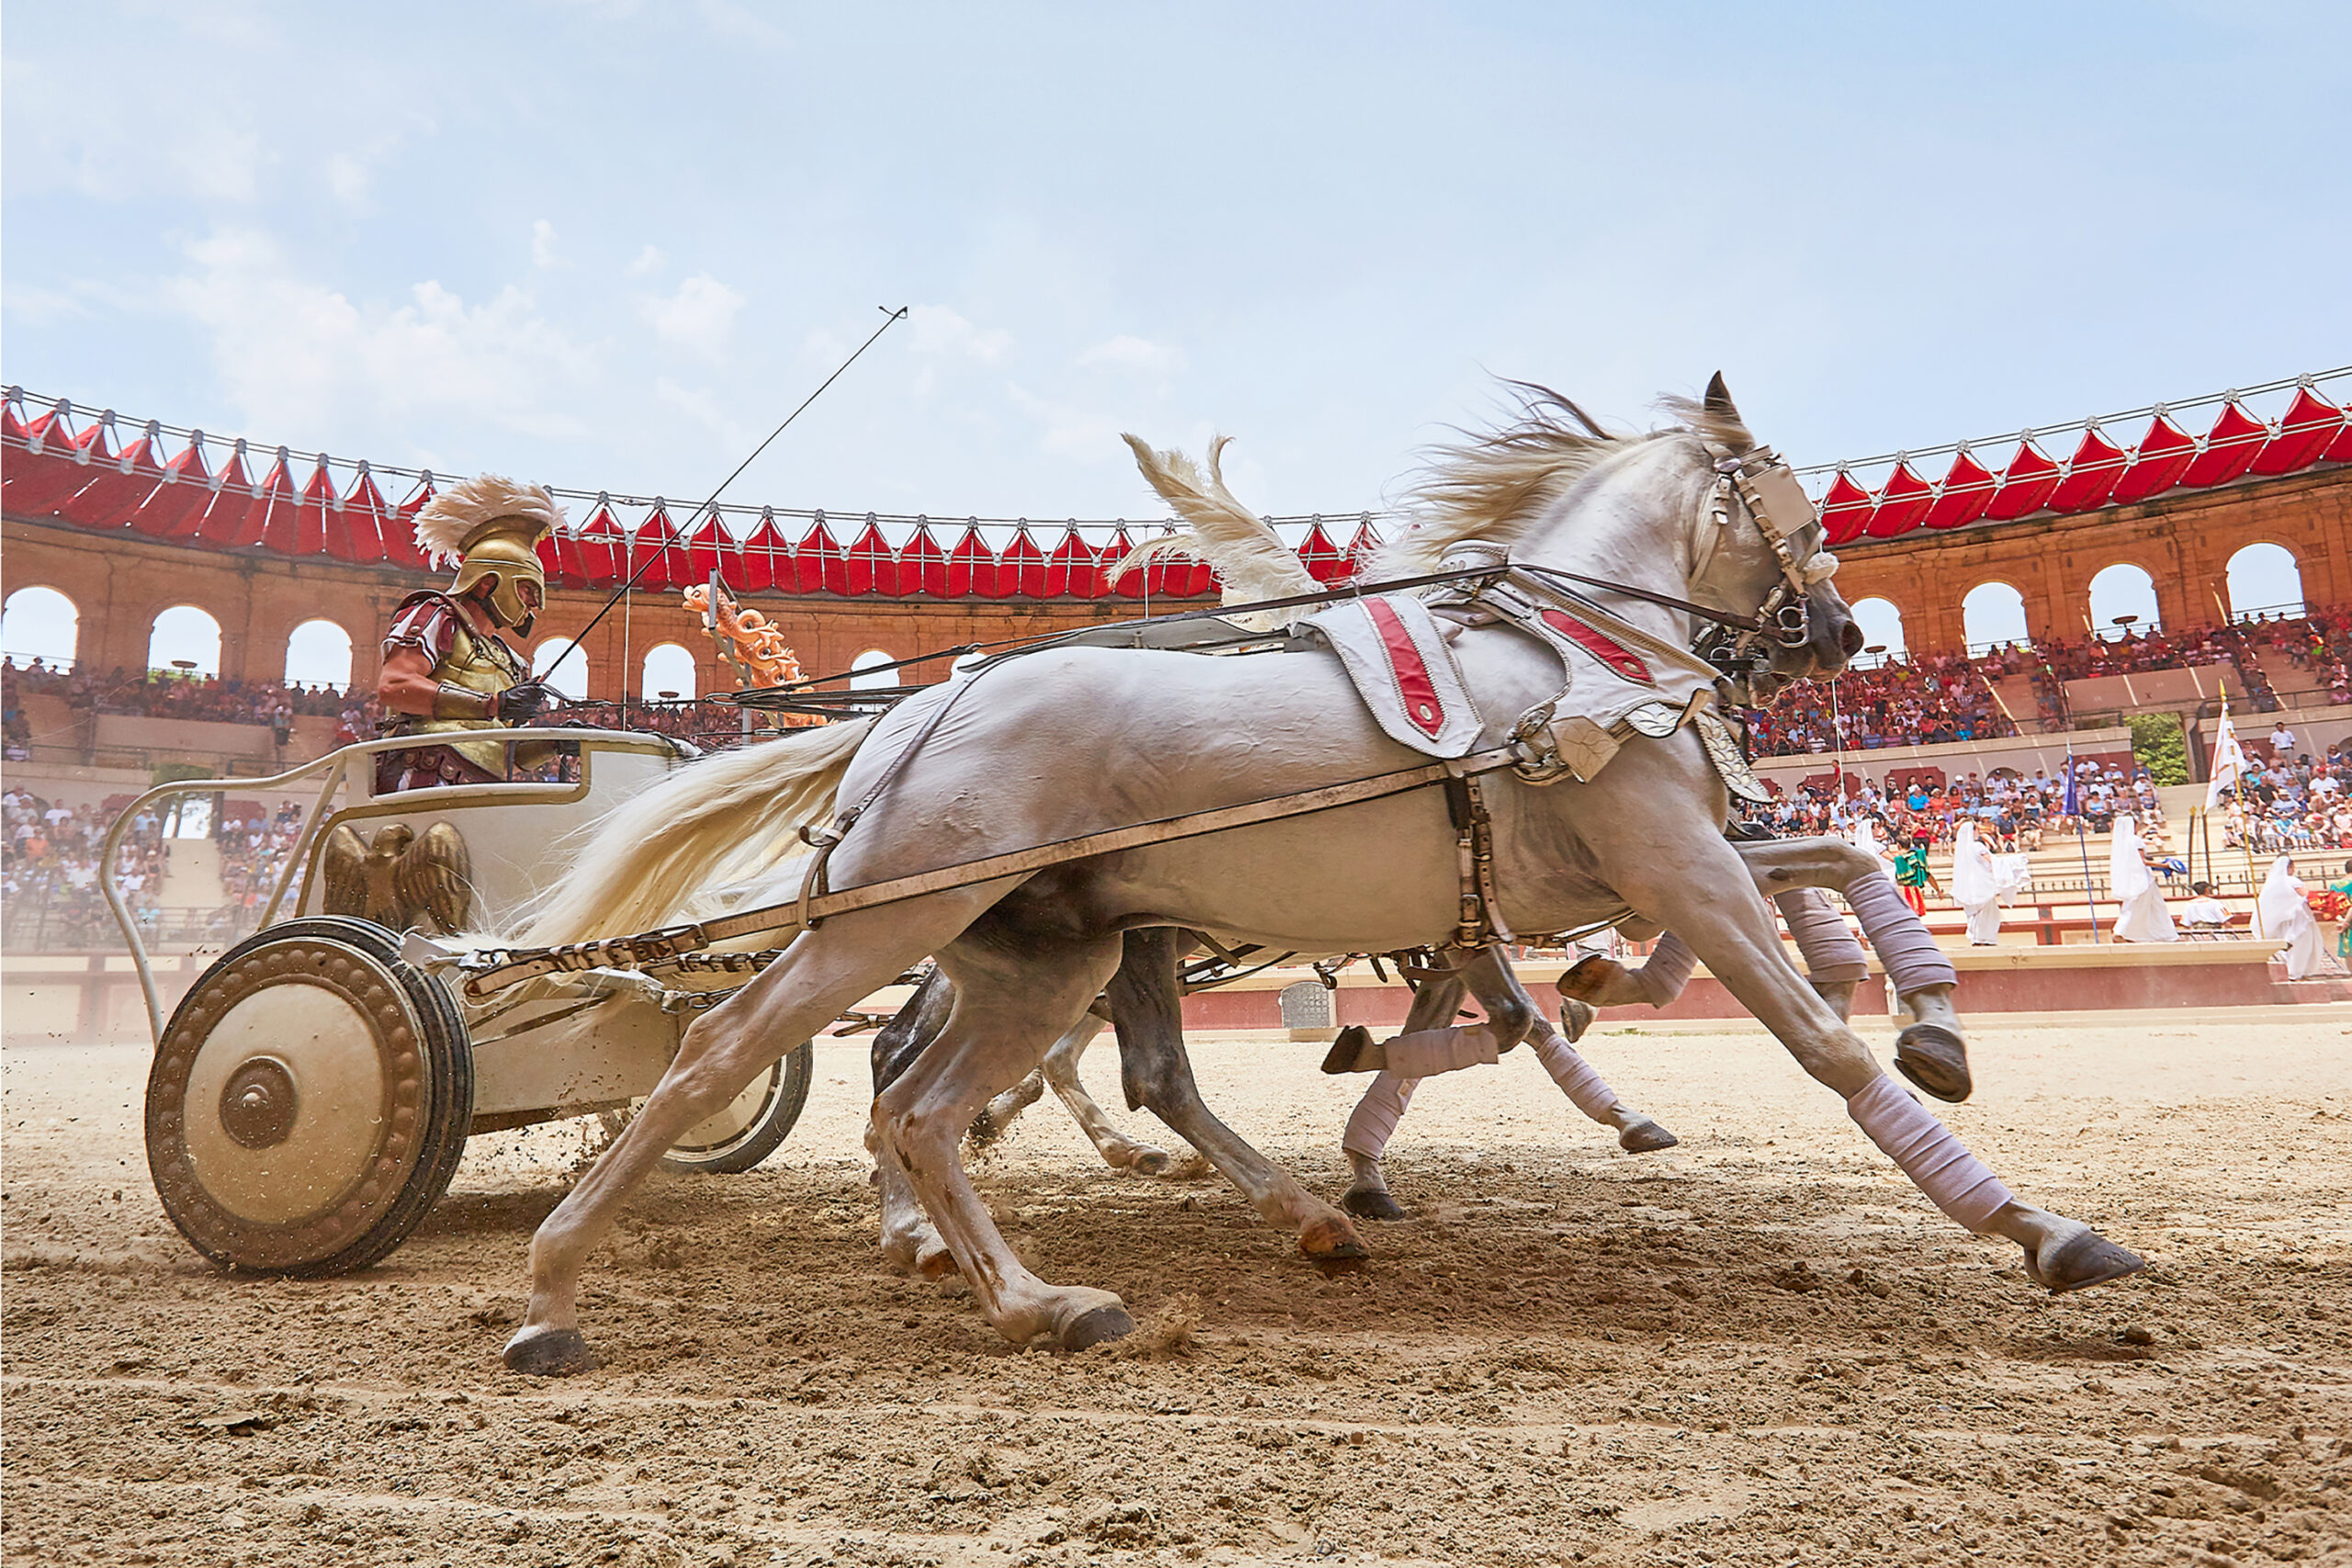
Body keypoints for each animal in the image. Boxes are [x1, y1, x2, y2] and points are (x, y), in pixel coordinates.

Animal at [500, 377, 2142, 1371]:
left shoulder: (1615, 876)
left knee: (931, 1101)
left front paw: (1931, 1019)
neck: (1572, 656)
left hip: (1042, 953)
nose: (1841, 636)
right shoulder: (1674, 862)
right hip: (897, 927)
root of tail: (914, 711)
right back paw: (556, 1287)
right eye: (1789, 490)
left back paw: (1046, 1290)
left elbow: (1831, 862)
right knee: (730, 1053)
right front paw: (2038, 1224)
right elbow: (1811, 1034)